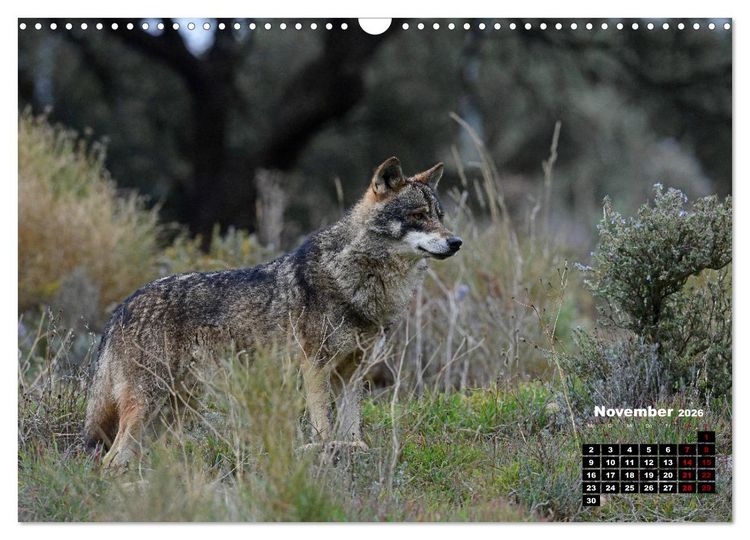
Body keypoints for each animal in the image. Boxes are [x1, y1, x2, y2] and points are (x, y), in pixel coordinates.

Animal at [84, 157, 463, 467]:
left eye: (440, 217)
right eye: (418, 216)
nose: (456, 242)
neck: (359, 278)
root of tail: (122, 306)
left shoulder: (353, 372)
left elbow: (351, 425)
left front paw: (353, 450)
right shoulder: (315, 367)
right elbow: (323, 426)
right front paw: (325, 453)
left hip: (175, 408)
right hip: (151, 404)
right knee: (112, 459)